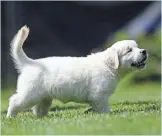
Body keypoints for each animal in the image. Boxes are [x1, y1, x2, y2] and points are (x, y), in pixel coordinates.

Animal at [6, 26, 148, 117]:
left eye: (137, 47)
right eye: (129, 50)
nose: (144, 51)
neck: (108, 66)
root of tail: (30, 62)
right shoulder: (99, 95)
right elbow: (103, 107)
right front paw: (108, 114)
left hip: (44, 97)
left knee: (38, 109)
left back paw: (44, 117)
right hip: (30, 93)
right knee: (15, 101)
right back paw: (10, 116)